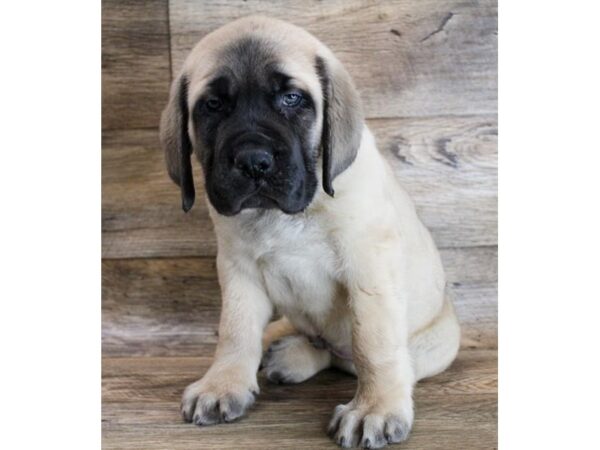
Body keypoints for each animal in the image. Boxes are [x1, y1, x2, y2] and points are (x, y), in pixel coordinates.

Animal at [158, 15, 460, 448]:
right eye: (212, 105)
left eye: (291, 99)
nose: (254, 161)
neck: (287, 215)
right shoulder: (238, 269)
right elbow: (235, 330)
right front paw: (223, 384)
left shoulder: (368, 268)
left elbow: (374, 343)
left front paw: (375, 409)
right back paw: (285, 352)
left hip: (432, 345)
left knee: (352, 356)